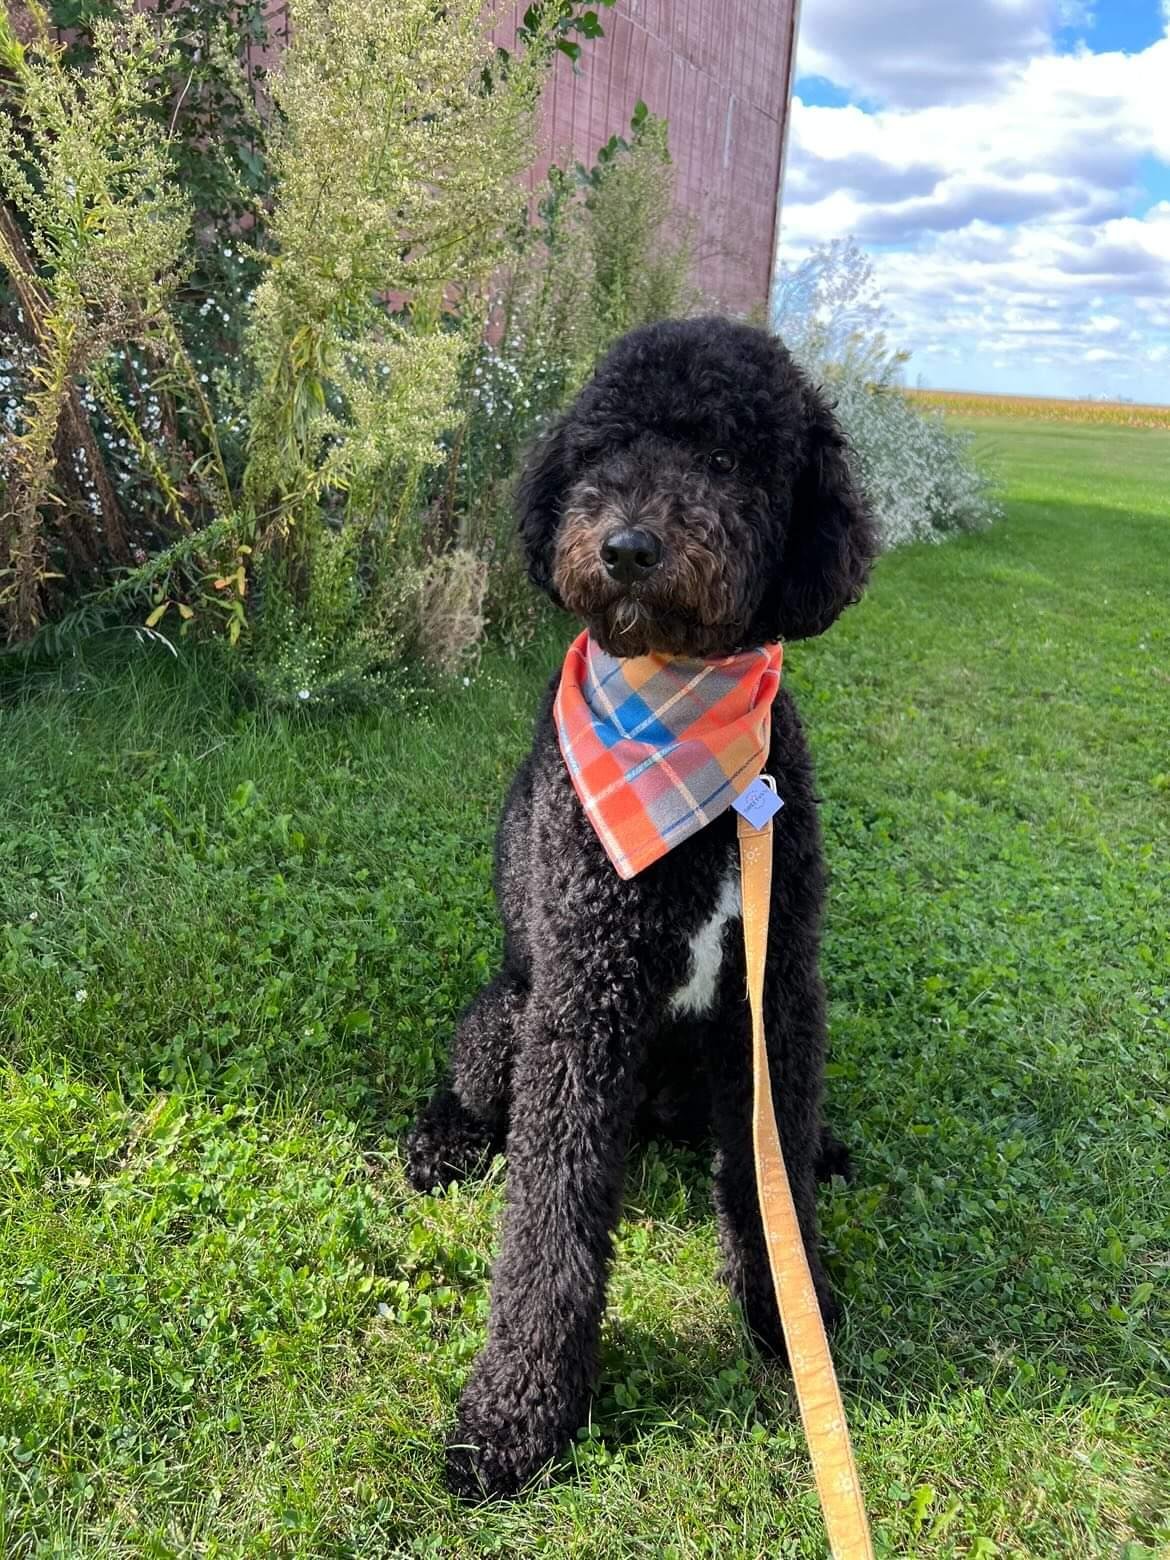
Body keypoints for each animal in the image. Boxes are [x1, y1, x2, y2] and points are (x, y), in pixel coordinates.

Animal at [411, 313, 879, 1497]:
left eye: (725, 457)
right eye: (603, 449)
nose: (626, 546)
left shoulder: (775, 990)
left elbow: (769, 1185)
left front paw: (787, 1318)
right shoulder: (586, 1001)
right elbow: (549, 1216)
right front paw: (517, 1415)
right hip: (508, 1020)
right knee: (476, 1097)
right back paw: (443, 1146)